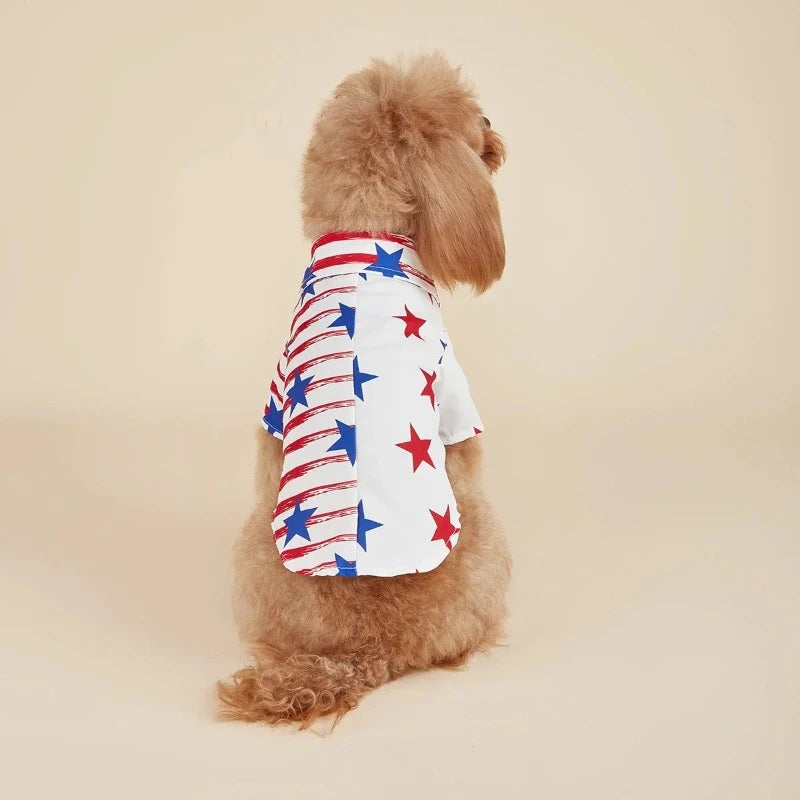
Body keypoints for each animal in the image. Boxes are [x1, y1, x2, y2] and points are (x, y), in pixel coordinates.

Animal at [216, 53, 510, 728]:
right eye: (474, 118)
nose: (494, 129)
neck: (366, 234)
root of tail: (371, 643)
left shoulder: (274, 415)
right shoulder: (455, 402)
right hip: (483, 534)